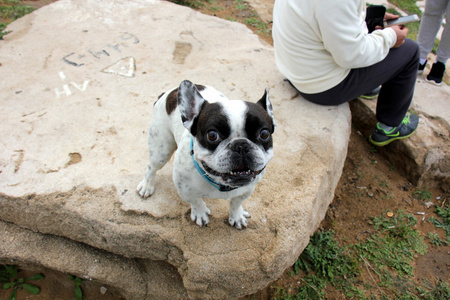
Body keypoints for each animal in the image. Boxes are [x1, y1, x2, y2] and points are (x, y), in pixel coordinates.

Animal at [136, 80, 274, 230]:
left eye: (264, 133)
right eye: (212, 135)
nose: (241, 145)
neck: (222, 185)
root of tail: (167, 93)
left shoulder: (247, 190)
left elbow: (236, 203)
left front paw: (236, 216)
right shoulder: (185, 189)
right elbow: (196, 201)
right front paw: (200, 213)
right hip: (161, 150)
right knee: (152, 167)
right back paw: (146, 186)